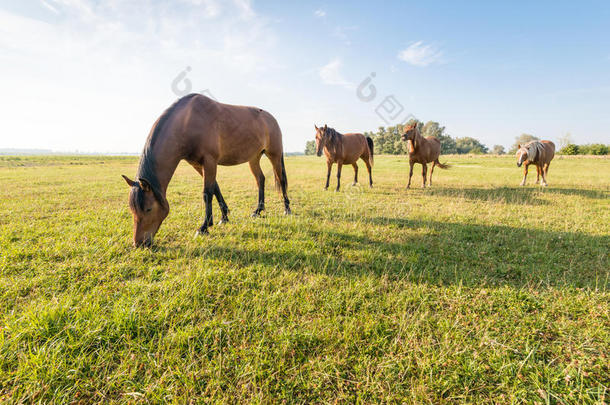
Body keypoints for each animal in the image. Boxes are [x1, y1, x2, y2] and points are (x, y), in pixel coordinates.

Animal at [121, 94, 290, 246]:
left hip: (274, 154)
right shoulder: (197, 164)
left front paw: (204, 227)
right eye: (132, 209)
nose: (139, 243)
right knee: (260, 179)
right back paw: (258, 210)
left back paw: (287, 210)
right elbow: (215, 188)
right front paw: (223, 217)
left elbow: (207, 193)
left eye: (148, 209)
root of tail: (271, 118)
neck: (187, 122)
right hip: (253, 158)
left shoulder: (210, 161)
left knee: (281, 180)